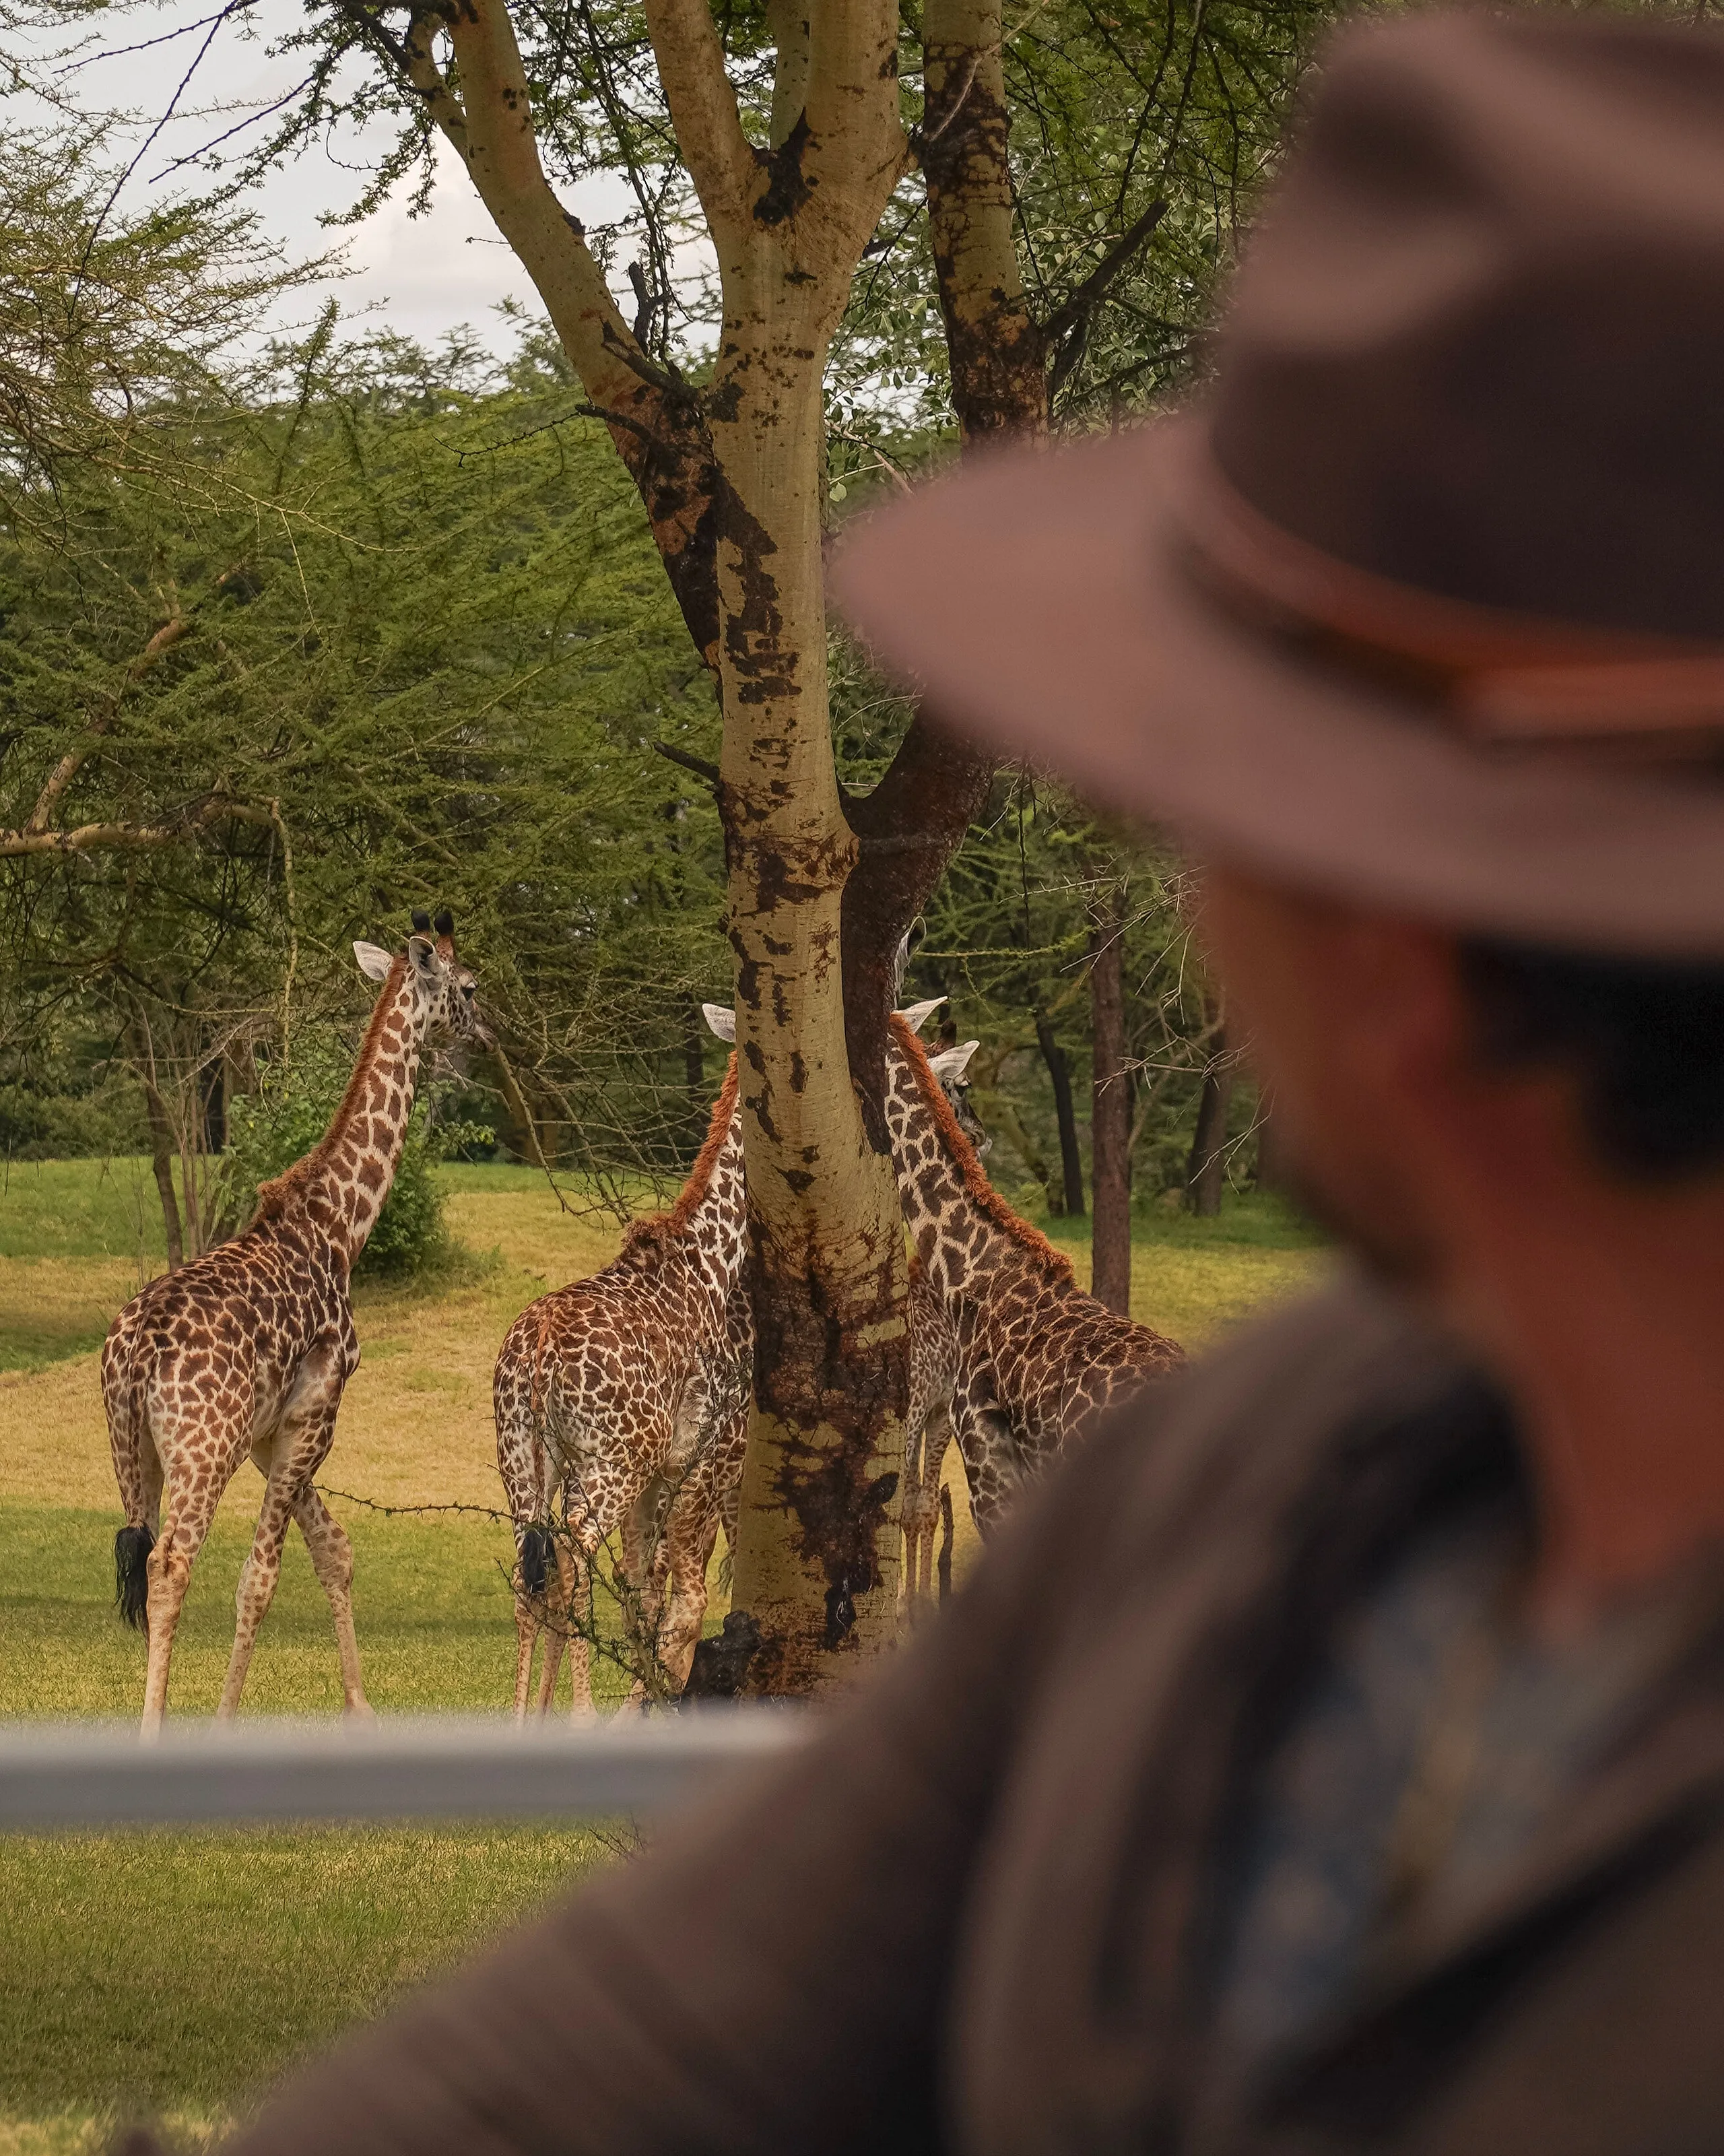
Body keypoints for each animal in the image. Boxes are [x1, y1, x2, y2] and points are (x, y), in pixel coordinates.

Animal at [105, 910, 482, 1736]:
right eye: (470, 986)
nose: (488, 1030)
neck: (339, 1227)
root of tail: (138, 1351)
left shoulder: (271, 1430)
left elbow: (333, 1548)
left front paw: (361, 1707)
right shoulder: (316, 1411)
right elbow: (262, 1575)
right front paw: (224, 1720)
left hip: (133, 1448)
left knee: (137, 1552)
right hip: (200, 1450)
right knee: (171, 1562)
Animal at [493, 1053, 748, 1718]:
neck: (713, 1263)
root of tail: (538, 1351)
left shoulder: (659, 1473)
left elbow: (644, 1590)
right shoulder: (693, 1456)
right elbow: (674, 1594)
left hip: (522, 1462)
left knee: (530, 1571)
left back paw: (523, 1719)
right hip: (611, 1463)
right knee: (576, 1556)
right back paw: (582, 1717)